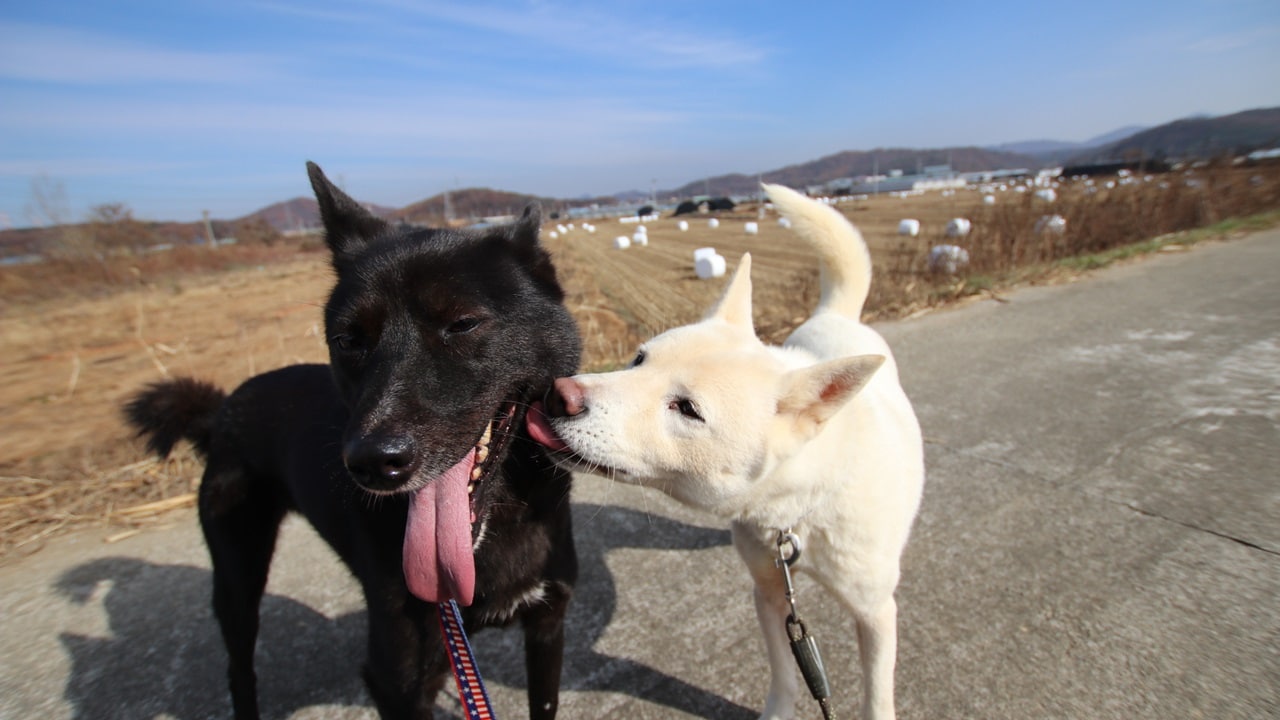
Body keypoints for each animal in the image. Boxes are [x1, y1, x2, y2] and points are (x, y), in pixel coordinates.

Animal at [122, 162, 583, 717]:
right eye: (347, 340)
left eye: (462, 323)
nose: (371, 463)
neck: (498, 533)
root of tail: (222, 410)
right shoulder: (398, 680)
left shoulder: (547, 625)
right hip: (237, 576)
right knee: (239, 668)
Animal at [524, 183, 926, 717]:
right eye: (638, 358)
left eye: (687, 409)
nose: (557, 395)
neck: (798, 511)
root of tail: (834, 314)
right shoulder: (770, 593)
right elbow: (784, 672)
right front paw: (778, 711)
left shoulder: (876, 612)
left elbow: (877, 694)